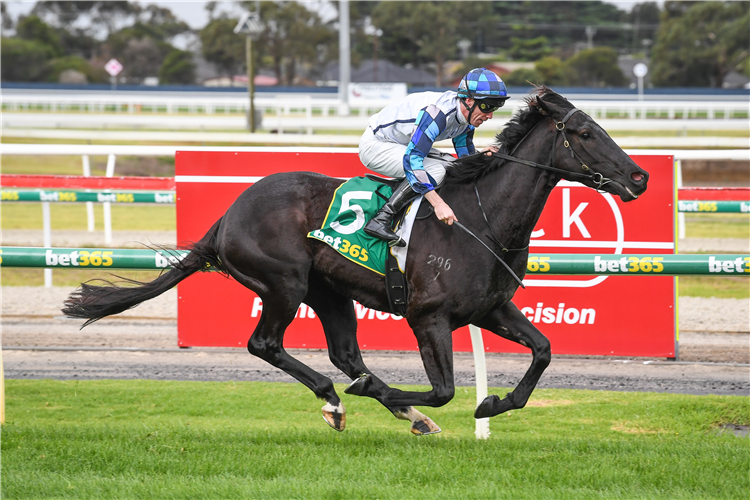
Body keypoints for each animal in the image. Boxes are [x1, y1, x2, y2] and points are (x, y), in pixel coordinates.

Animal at [64, 88, 648, 436]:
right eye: (586, 133)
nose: (640, 177)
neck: (481, 220)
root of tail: (227, 216)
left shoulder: (489, 310)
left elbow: (543, 351)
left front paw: (492, 405)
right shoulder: (429, 317)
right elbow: (445, 390)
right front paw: (408, 397)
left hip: (330, 291)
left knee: (346, 353)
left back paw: (386, 404)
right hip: (284, 283)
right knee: (267, 345)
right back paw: (340, 397)